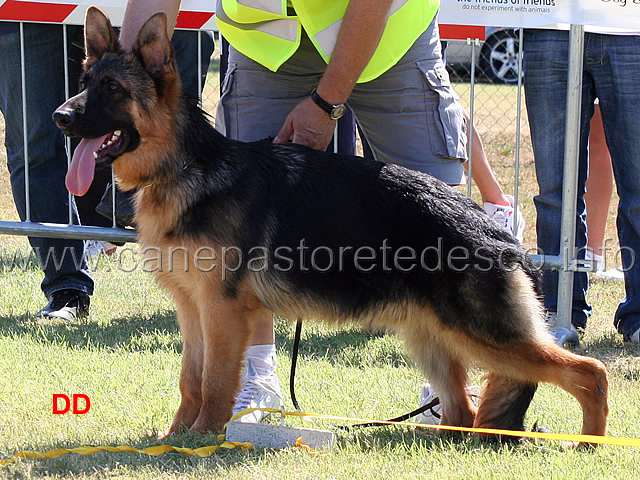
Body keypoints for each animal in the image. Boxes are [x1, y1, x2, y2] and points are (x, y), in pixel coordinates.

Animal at [52, 7, 608, 442]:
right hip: (433, 339)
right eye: (83, 85)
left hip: (486, 337)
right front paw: (175, 438)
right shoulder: (192, 310)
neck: (187, 167)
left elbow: (214, 382)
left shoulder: (221, 311)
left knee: (590, 373)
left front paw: (205, 437)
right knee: (463, 409)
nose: (60, 117)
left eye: (112, 89)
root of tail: (500, 234)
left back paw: (592, 443)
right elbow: (191, 380)